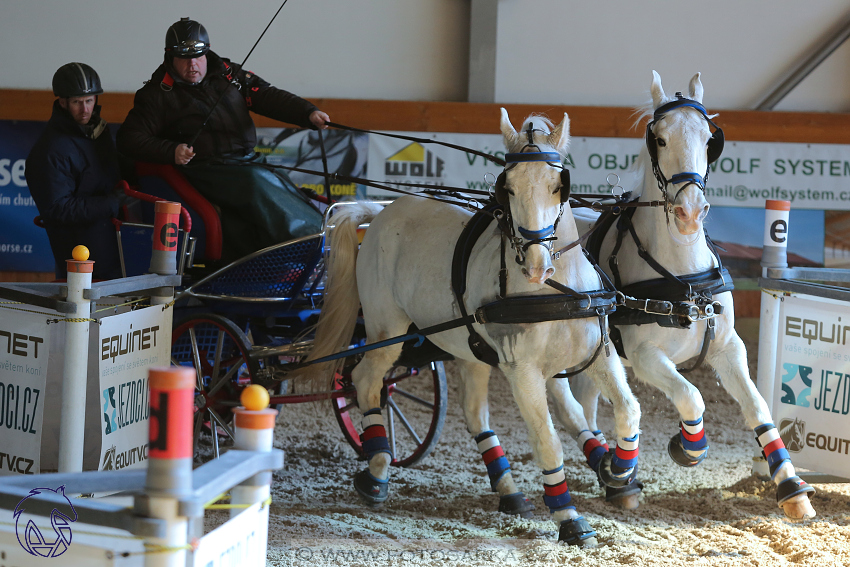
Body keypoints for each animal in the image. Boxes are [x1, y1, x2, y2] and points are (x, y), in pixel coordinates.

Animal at [302, 108, 640, 548]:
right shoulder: (521, 370)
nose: (536, 266)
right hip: (385, 329)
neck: (557, 291)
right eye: (507, 188)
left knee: (476, 415)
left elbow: (627, 409)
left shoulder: (599, 353)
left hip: (469, 348)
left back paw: (510, 491)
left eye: (559, 186)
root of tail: (381, 211)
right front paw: (570, 518)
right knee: (367, 380)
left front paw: (617, 469)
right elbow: (547, 442)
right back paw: (376, 470)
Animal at [564, 70, 816, 520]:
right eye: (660, 139)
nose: (690, 212)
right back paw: (616, 470)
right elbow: (691, 397)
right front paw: (688, 447)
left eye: (708, 140)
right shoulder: (645, 356)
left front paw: (791, 487)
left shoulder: (729, 347)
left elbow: (758, 407)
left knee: (589, 400)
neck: (683, 277)